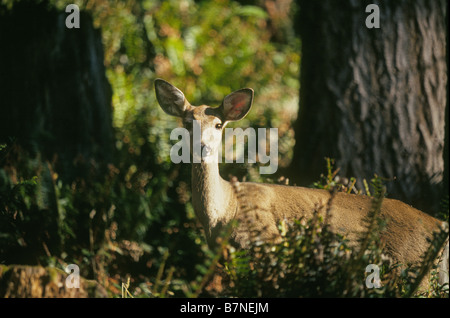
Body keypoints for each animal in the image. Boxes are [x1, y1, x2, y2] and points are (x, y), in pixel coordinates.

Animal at [154, 77, 446, 288]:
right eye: (187, 122)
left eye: (217, 125)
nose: (201, 146)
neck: (224, 211)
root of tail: (439, 226)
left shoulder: (269, 244)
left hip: (409, 266)